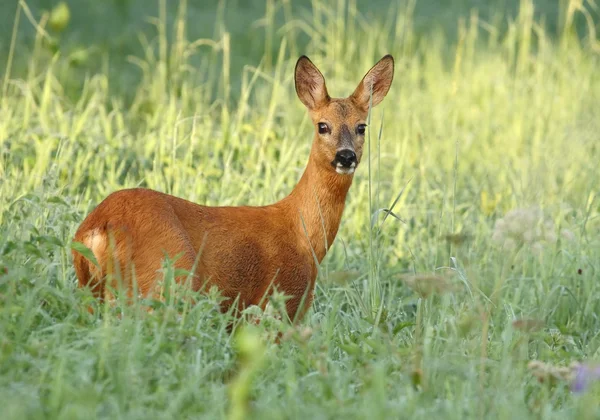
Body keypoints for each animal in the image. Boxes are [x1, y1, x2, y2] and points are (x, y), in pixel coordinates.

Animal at [71, 55, 394, 324]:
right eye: (323, 126)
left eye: (362, 127)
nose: (346, 156)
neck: (303, 234)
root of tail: (98, 226)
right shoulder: (282, 299)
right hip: (165, 279)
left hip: (94, 290)